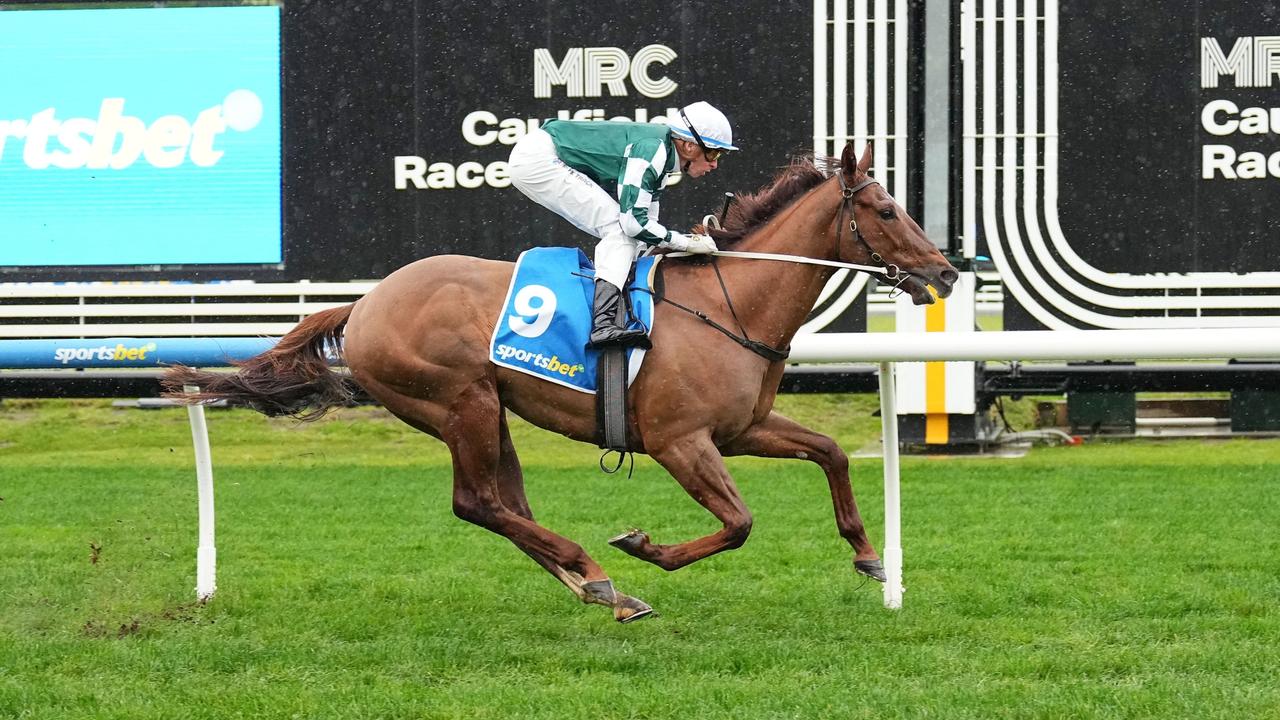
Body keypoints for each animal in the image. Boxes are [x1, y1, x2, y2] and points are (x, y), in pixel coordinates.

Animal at [165, 142, 957, 620]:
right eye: (885, 209)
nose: (947, 272)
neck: (729, 302)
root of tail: (363, 303)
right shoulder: (680, 441)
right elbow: (738, 524)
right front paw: (645, 546)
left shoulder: (741, 429)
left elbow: (830, 452)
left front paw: (870, 557)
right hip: (459, 401)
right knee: (475, 503)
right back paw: (596, 570)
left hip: (489, 411)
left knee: (502, 504)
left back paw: (597, 586)